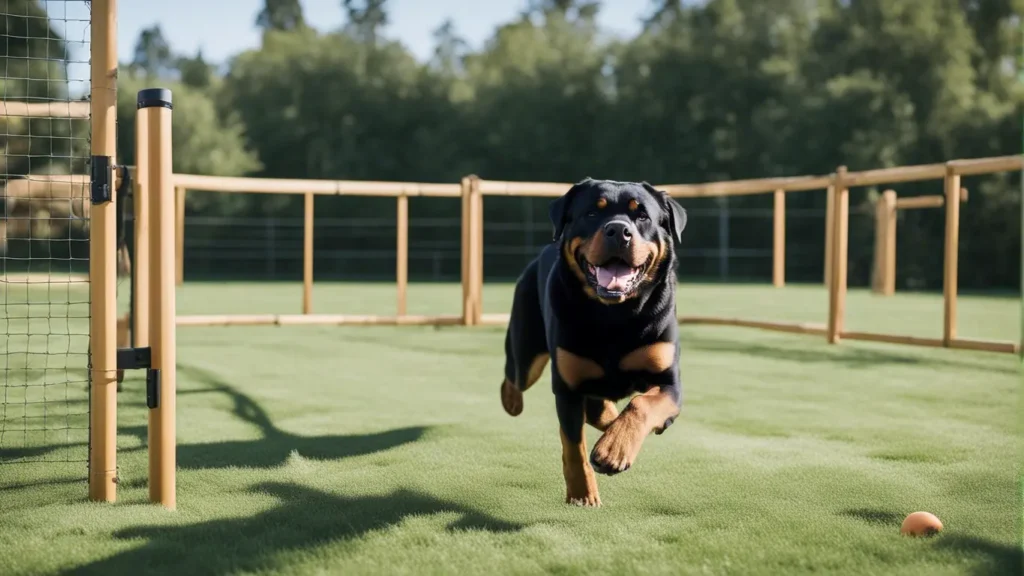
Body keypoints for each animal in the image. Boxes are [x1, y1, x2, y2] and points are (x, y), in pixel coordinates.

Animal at [497, 177, 684, 504]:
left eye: (642, 216)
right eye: (592, 213)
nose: (618, 230)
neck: (613, 315)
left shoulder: (668, 381)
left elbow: (642, 405)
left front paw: (613, 449)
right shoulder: (568, 387)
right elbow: (573, 448)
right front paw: (583, 494)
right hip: (527, 350)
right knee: (515, 375)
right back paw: (512, 401)